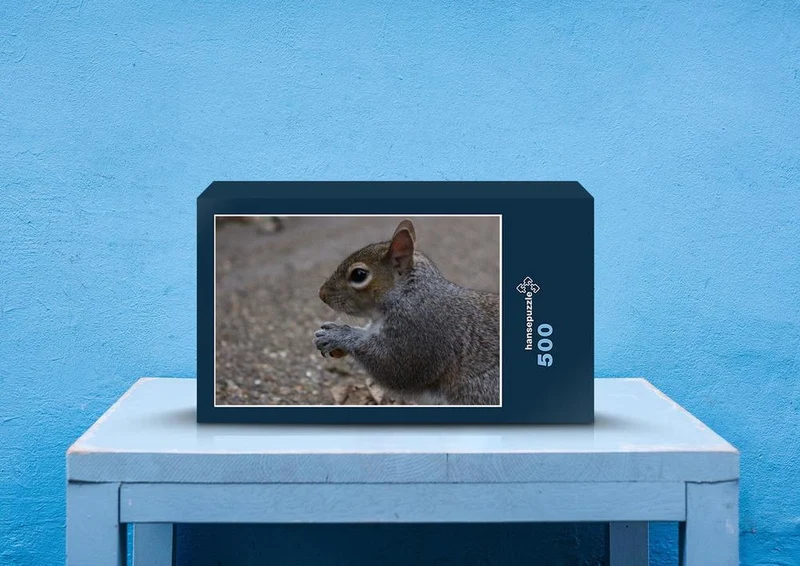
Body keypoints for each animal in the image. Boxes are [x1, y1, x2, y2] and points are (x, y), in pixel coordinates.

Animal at [314, 219, 499, 405]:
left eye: (359, 274)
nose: (322, 294)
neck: (407, 294)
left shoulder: (420, 330)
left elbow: (394, 367)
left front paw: (337, 335)